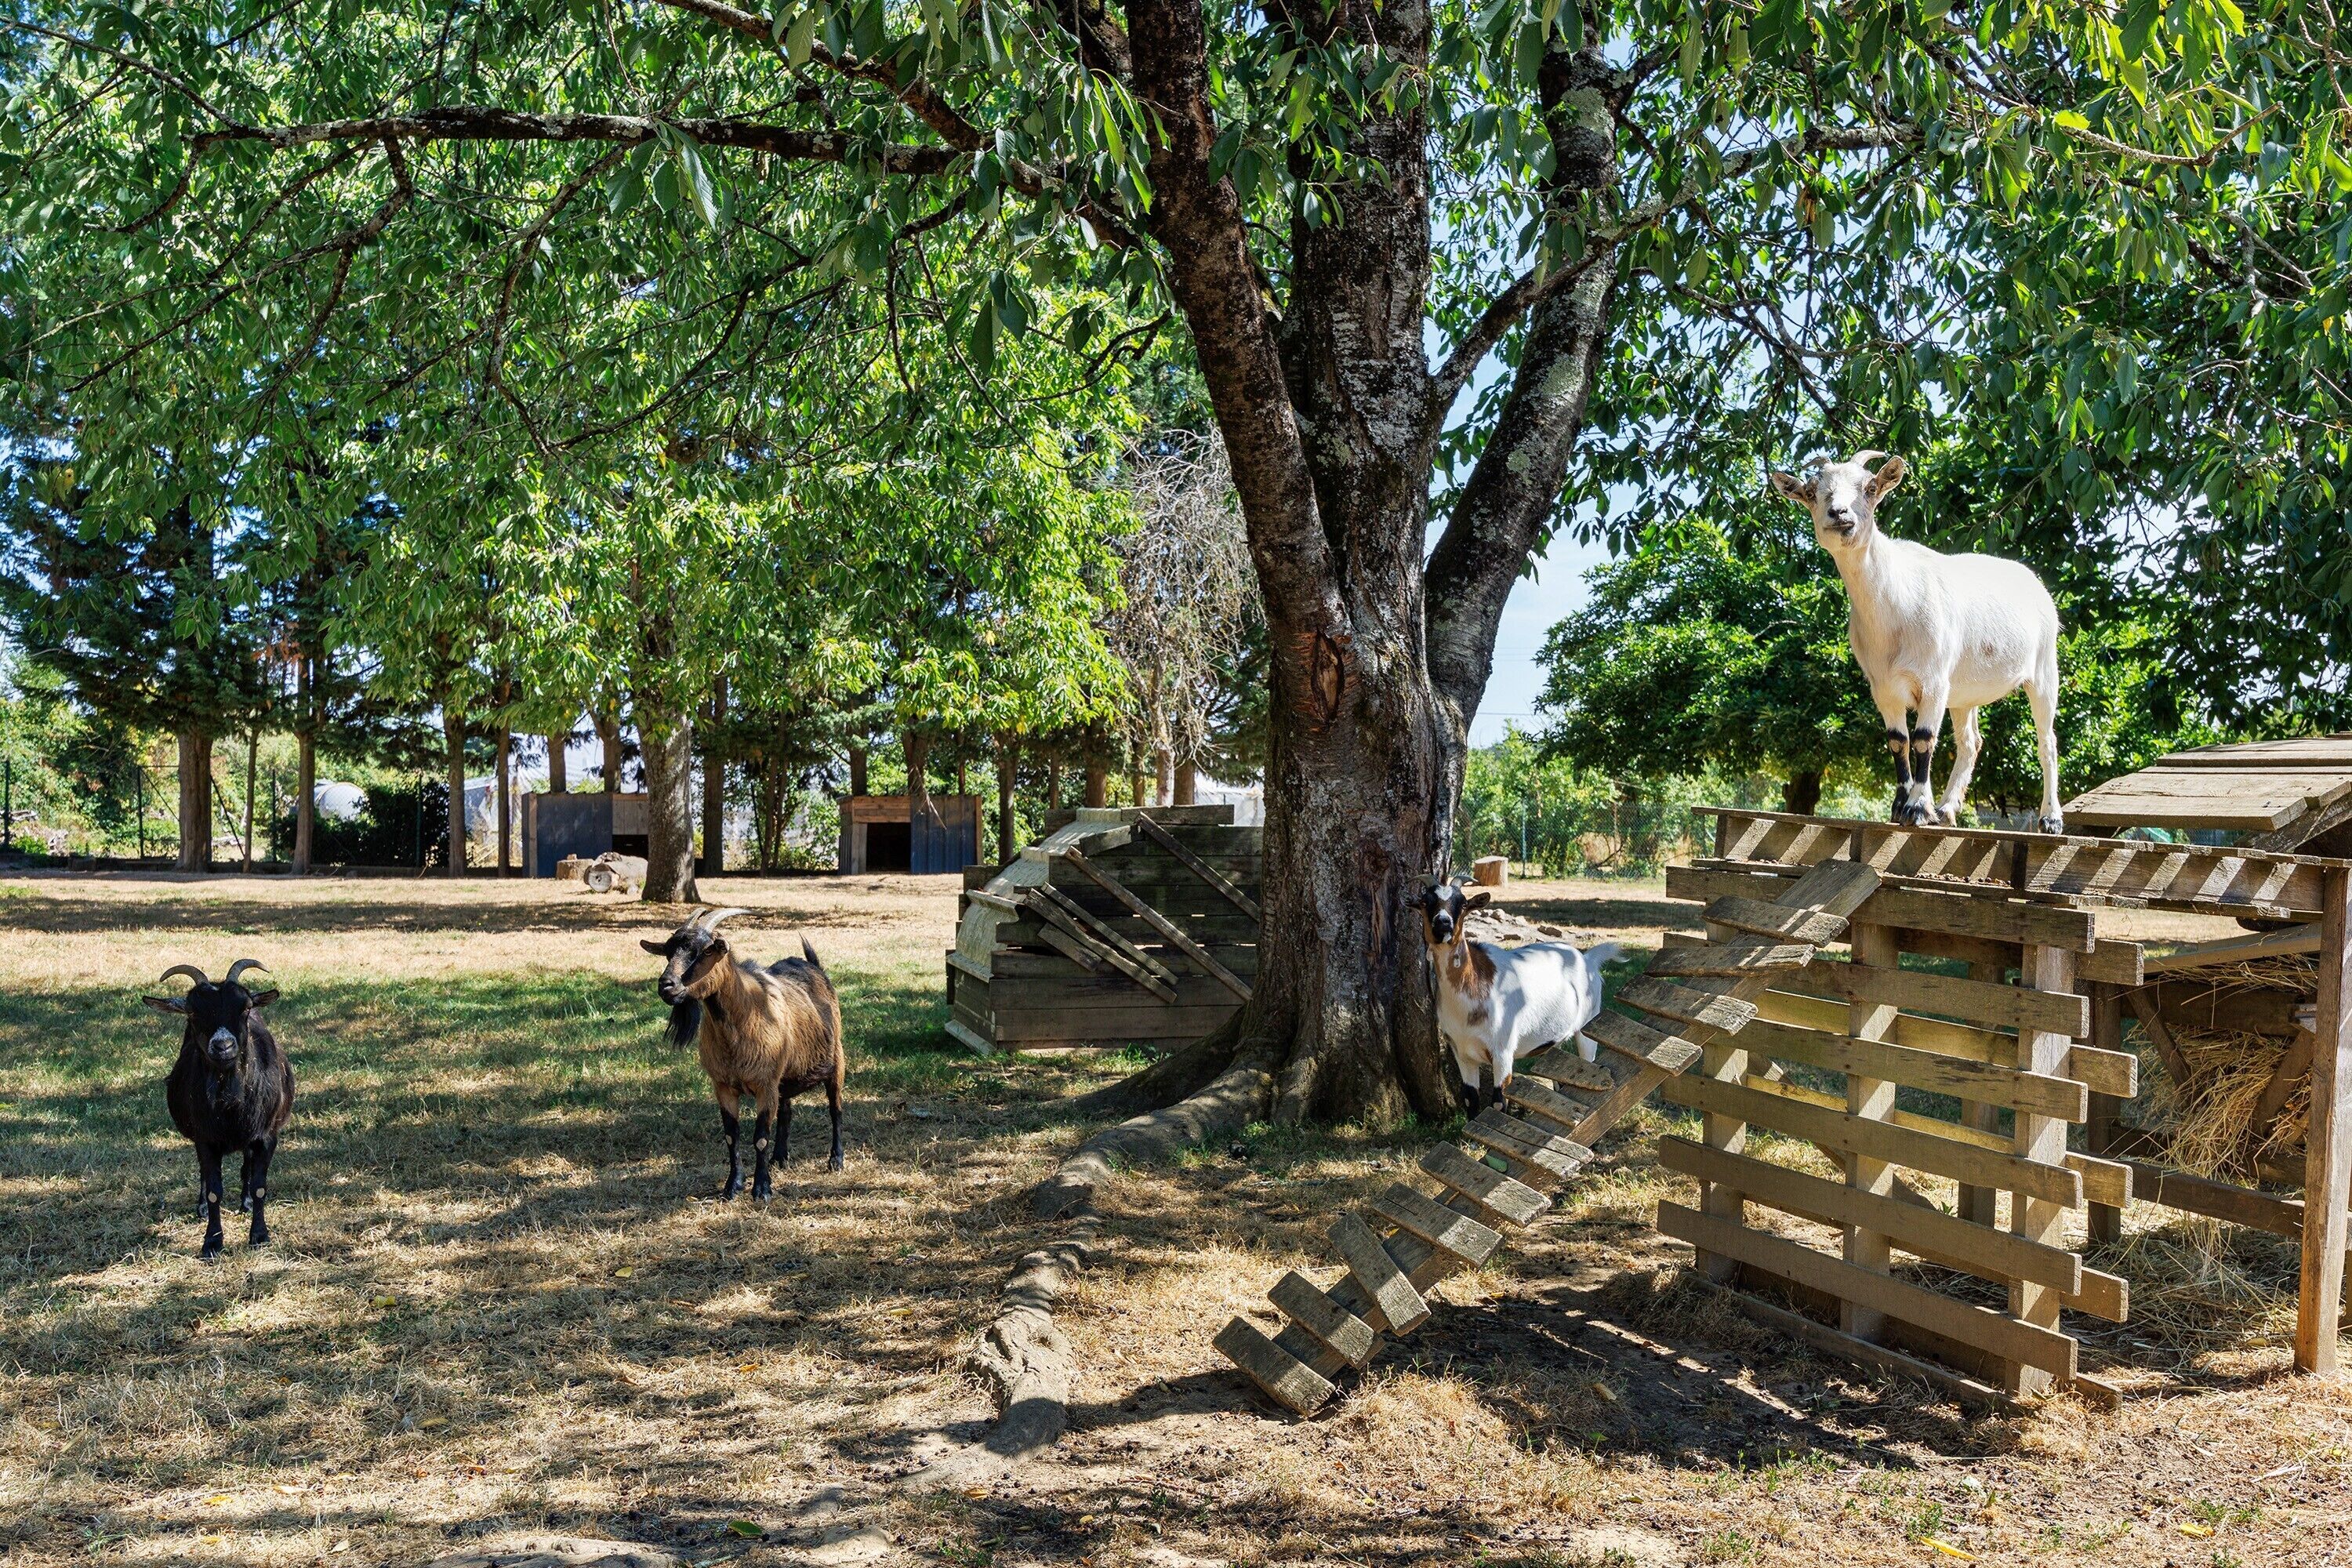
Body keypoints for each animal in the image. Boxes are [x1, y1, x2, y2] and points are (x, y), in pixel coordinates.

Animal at [143, 959, 295, 1260]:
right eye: (192, 1012)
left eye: (245, 1007)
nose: (223, 1046)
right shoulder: (206, 1139)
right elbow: (214, 1189)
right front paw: (212, 1243)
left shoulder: (266, 1136)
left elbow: (260, 1186)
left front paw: (259, 1235)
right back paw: (201, 1207)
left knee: (247, 1164)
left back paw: (245, 1202)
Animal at [642, 907, 845, 1200]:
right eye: (669, 952)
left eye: (706, 951)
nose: (666, 985)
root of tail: (813, 965)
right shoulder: (723, 1086)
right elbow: (731, 1136)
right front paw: (733, 1186)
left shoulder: (765, 1085)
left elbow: (760, 1136)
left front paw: (762, 1189)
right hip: (784, 1076)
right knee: (786, 1111)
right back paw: (779, 1159)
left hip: (836, 1060)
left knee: (835, 1109)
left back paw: (835, 1160)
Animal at [1414, 882, 1620, 1119]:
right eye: (1425, 902)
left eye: (1464, 904)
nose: (1443, 924)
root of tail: (1588, 959)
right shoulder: (1462, 1052)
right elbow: (1470, 1100)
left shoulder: (1503, 1050)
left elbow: (1497, 1103)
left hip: (1588, 1023)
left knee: (1587, 1065)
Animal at [1769, 451, 2065, 832]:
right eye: (1811, 492)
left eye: (1870, 488)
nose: (1839, 514)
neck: (1897, 605)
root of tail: (2036, 585)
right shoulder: (1882, 687)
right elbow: (1899, 742)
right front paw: (1900, 807)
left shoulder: (1934, 680)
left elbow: (1924, 739)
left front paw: (1918, 809)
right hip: (1964, 691)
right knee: (1970, 742)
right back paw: (1948, 809)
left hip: (2043, 668)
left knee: (2048, 742)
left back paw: (2050, 818)